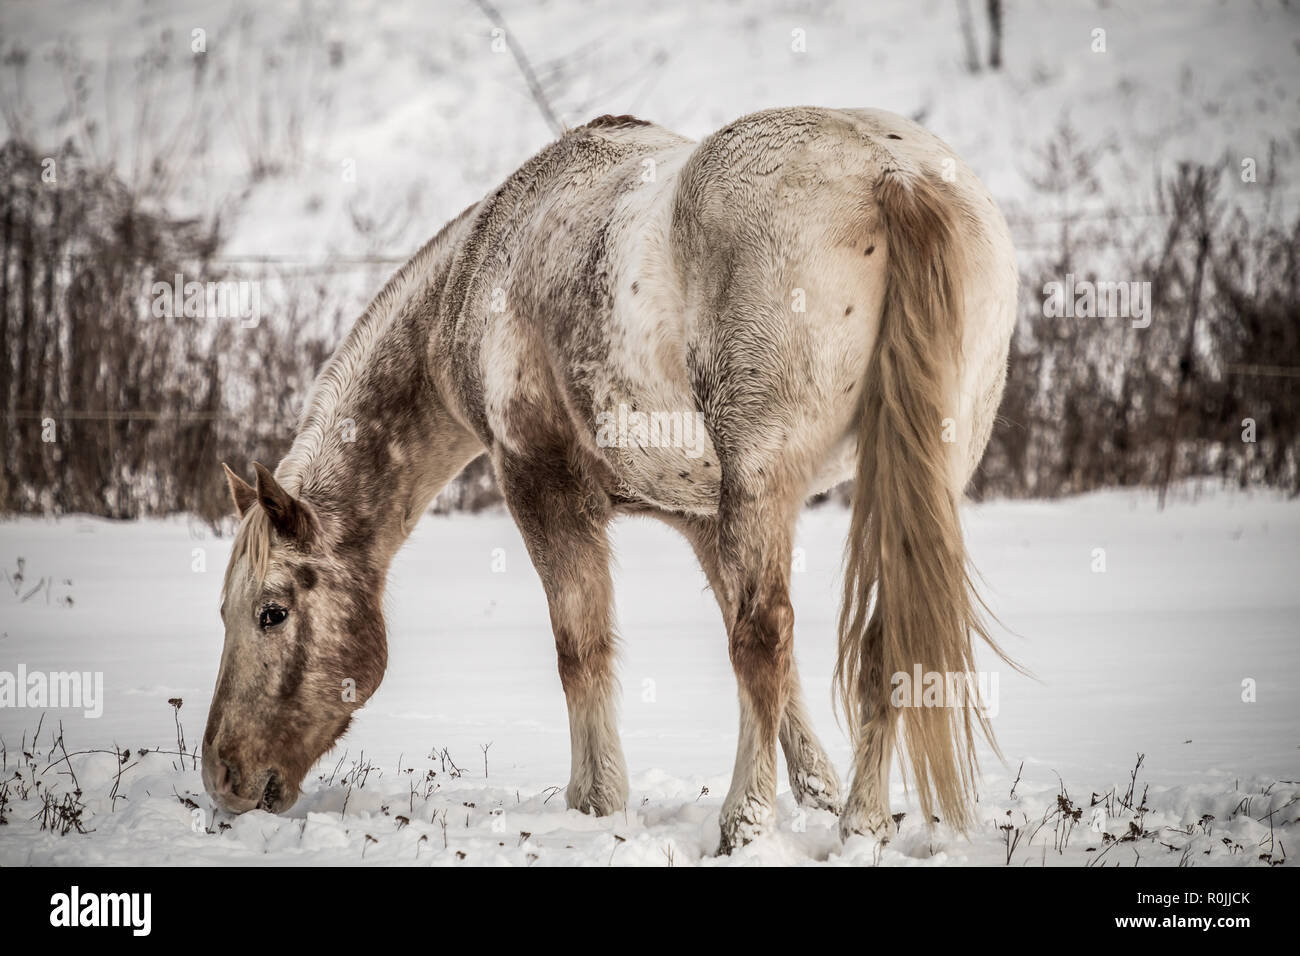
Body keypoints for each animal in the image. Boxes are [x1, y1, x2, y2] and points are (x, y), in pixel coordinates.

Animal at [202, 107, 1018, 853]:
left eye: (271, 612)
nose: (222, 777)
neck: (484, 271)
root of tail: (895, 177)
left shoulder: (544, 488)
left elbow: (583, 649)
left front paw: (595, 803)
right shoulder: (703, 518)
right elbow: (768, 671)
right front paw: (815, 792)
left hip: (766, 477)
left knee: (764, 637)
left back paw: (744, 824)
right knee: (877, 640)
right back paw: (860, 825)